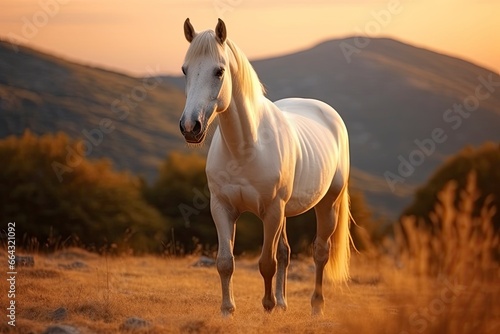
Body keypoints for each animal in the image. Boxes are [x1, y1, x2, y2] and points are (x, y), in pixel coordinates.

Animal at [179, 18, 352, 316]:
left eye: (219, 71)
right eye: (184, 70)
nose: (191, 127)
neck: (246, 147)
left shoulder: (271, 211)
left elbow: (266, 263)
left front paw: (268, 306)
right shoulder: (222, 207)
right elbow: (225, 262)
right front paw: (228, 310)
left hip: (326, 205)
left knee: (320, 252)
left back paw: (315, 306)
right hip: (286, 212)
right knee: (285, 252)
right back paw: (283, 302)